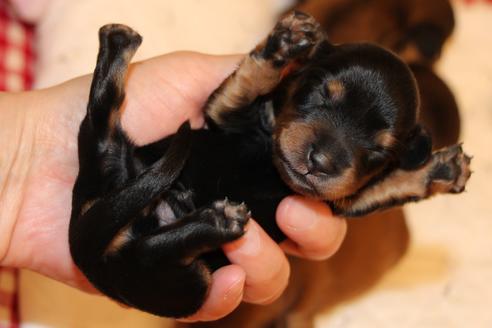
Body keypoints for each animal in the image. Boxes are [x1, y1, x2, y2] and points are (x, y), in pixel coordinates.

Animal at [70, 12, 472, 318]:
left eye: (378, 151)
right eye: (319, 92)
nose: (320, 162)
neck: (269, 157)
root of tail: (90, 256)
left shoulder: (343, 201)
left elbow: (384, 186)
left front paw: (441, 171)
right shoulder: (221, 113)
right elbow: (245, 83)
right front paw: (285, 43)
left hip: (183, 281)